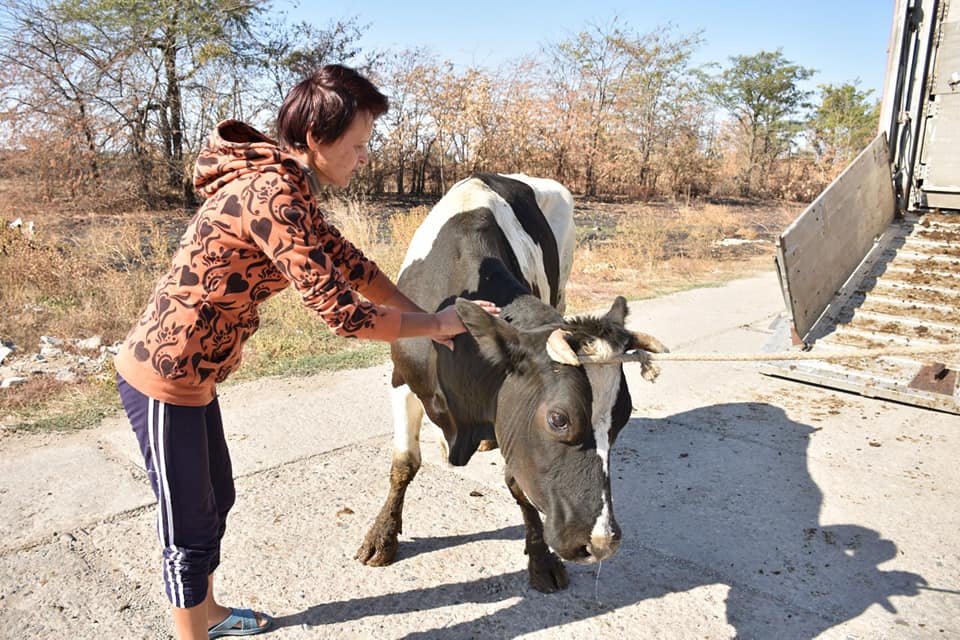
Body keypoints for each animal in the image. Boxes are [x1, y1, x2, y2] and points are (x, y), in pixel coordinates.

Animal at [354, 172, 668, 592]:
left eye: (623, 418)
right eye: (559, 419)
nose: (601, 542)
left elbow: (518, 481)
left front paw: (540, 559)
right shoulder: (402, 377)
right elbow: (404, 462)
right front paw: (382, 537)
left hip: (561, 285)